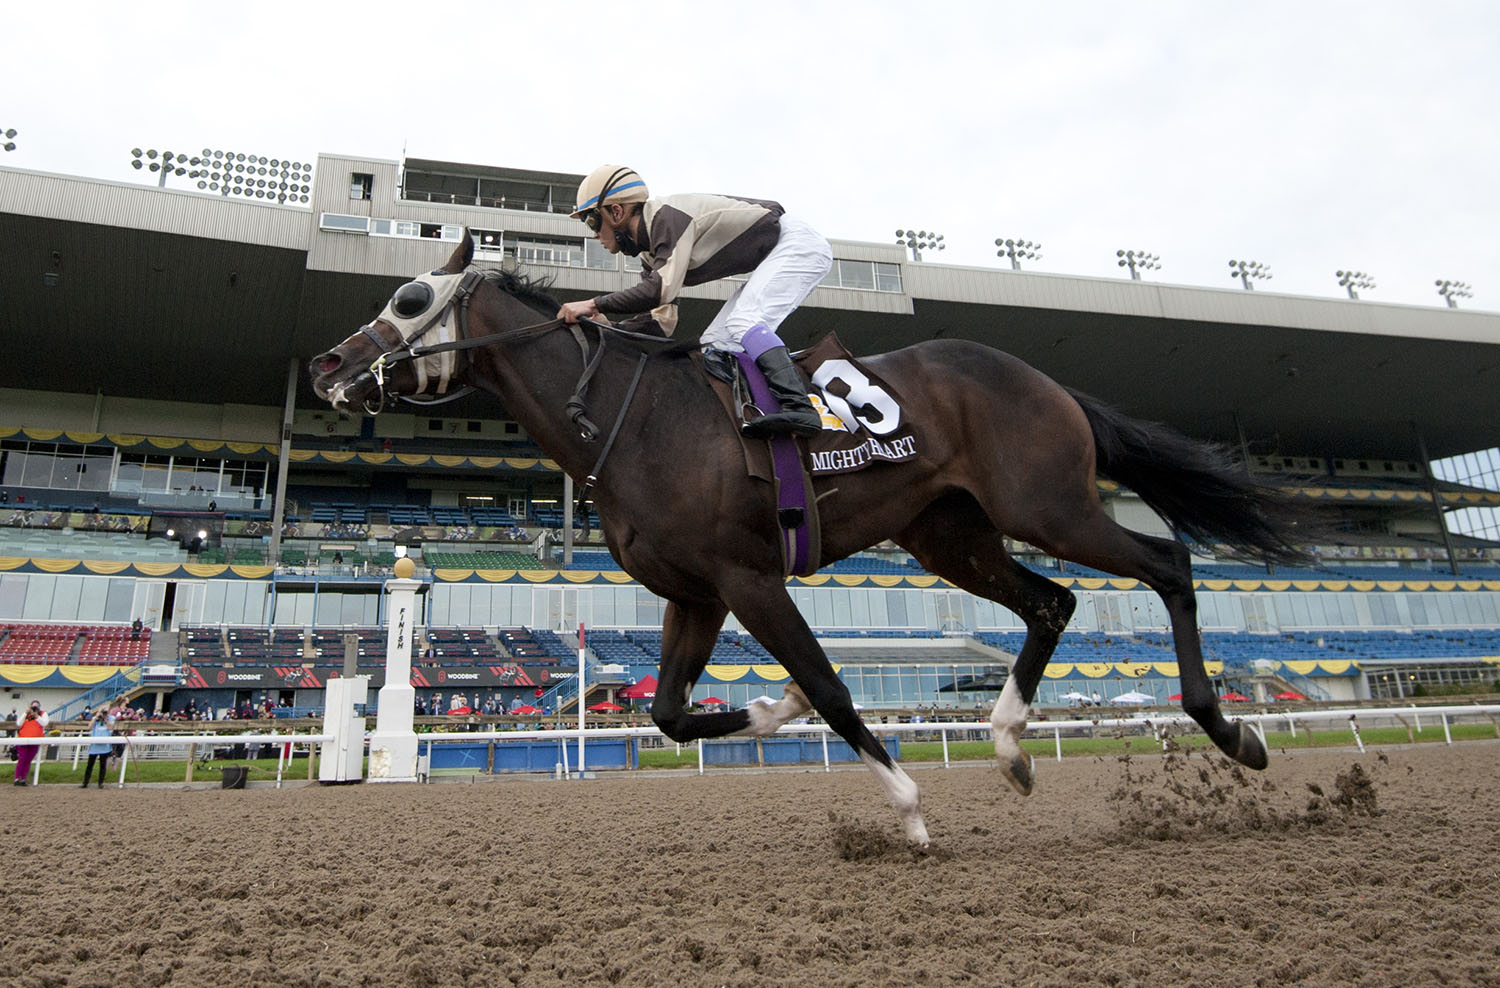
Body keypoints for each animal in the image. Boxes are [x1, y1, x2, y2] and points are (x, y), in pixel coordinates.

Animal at [310, 233, 1307, 847]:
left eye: (409, 297)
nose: (327, 364)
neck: (634, 421)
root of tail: (1045, 380)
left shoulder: (750, 578)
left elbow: (829, 685)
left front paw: (907, 805)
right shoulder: (695, 592)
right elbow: (671, 713)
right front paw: (771, 707)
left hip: (1047, 505)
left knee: (1167, 563)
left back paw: (1232, 731)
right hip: (951, 537)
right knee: (1054, 601)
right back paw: (1013, 746)